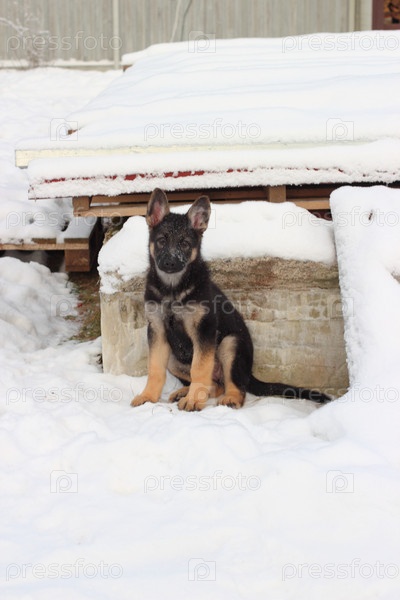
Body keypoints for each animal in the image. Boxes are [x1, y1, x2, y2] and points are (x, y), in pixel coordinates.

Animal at [131, 188, 330, 411]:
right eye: (161, 241)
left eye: (184, 243)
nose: (170, 262)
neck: (173, 289)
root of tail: (250, 374)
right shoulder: (157, 330)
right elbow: (155, 369)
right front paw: (148, 397)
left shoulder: (204, 330)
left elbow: (199, 368)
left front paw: (194, 400)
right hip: (175, 359)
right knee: (215, 384)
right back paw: (184, 392)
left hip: (230, 344)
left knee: (235, 386)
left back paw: (228, 398)